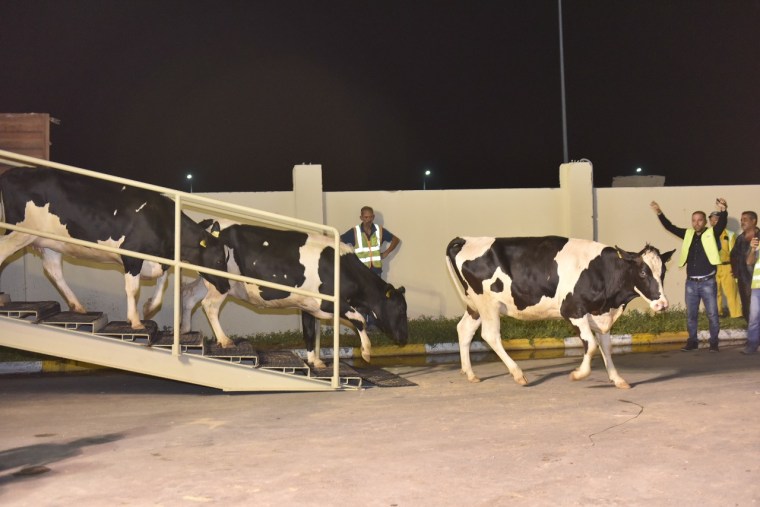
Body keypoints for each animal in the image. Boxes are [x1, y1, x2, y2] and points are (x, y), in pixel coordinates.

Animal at [180, 224, 410, 368]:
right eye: (400, 309)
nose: (404, 338)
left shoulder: (308, 306)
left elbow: (309, 332)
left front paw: (316, 361)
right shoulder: (328, 302)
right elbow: (360, 319)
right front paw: (366, 351)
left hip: (210, 281)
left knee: (188, 294)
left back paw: (185, 331)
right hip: (221, 284)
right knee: (209, 305)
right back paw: (225, 340)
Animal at [442, 237, 672, 388]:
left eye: (663, 272)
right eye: (643, 272)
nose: (662, 304)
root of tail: (466, 240)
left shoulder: (600, 315)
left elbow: (606, 347)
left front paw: (617, 379)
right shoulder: (573, 310)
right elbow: (591, 345)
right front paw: (578, 374)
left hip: (475, 307)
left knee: (464, 329)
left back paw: (470, 374)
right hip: (487, 304)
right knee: (490, 335)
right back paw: (518, 374)